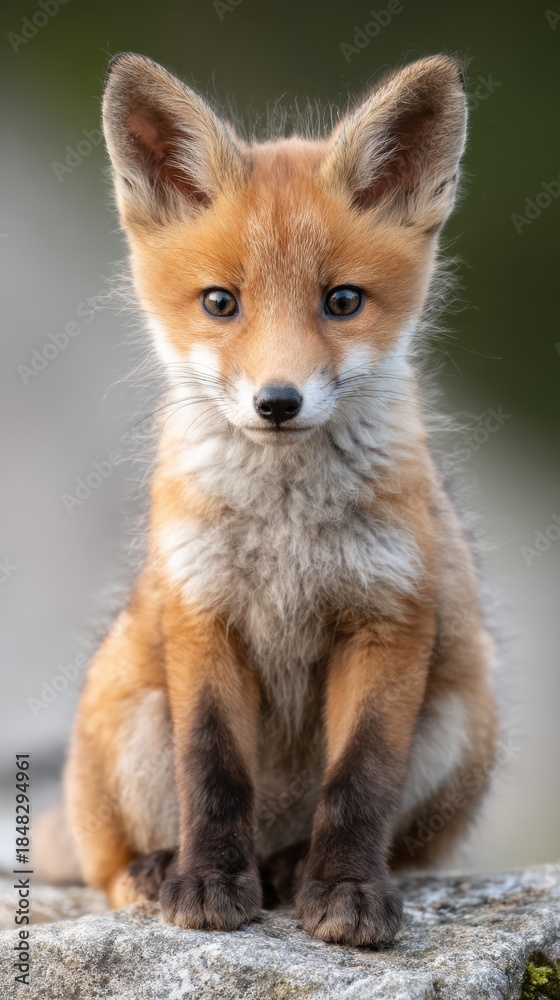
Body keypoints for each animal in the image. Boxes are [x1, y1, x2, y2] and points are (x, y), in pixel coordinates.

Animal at [42, 51, 499, 946]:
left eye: (343, 301)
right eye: (222, 302)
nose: (278, 403)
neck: (289, 528)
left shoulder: (390, 619)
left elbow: (359, 782)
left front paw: (346, 890)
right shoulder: (202, 612)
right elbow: (214, 772)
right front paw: (210, 883)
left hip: (464, 717)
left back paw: (290, 871)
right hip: (128, 712)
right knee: (105, 865)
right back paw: (162, 871)